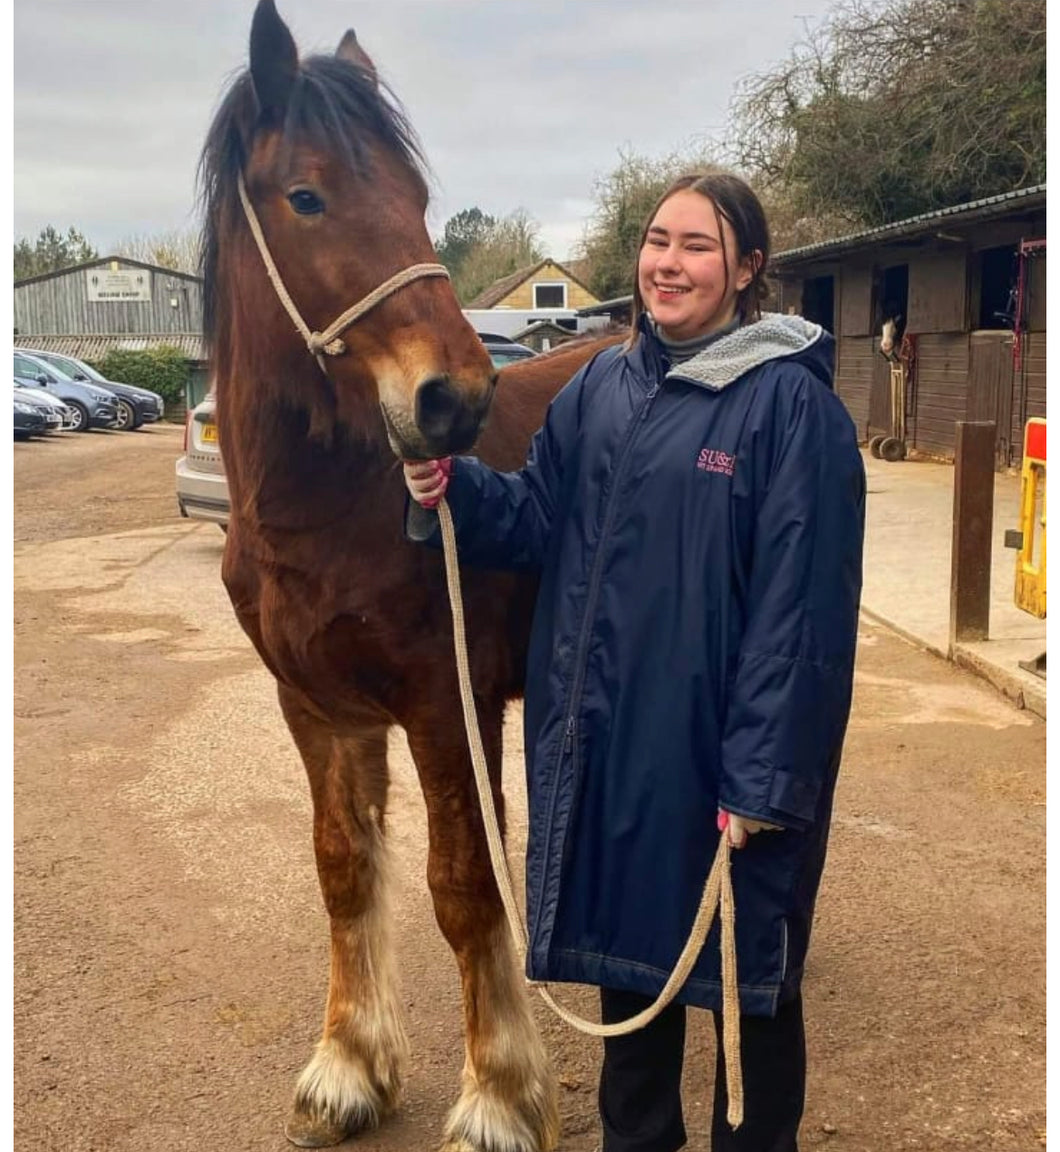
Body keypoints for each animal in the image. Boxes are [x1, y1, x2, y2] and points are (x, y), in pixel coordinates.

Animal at [198, 4, 622, 1147]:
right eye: (306, 195)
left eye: (418, 199)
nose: (454, 398)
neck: (335, 505)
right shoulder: (319, 711)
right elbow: (344, 870)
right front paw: (350, 1066)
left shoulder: (443, 704)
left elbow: (461, 884)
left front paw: (498, 1094)